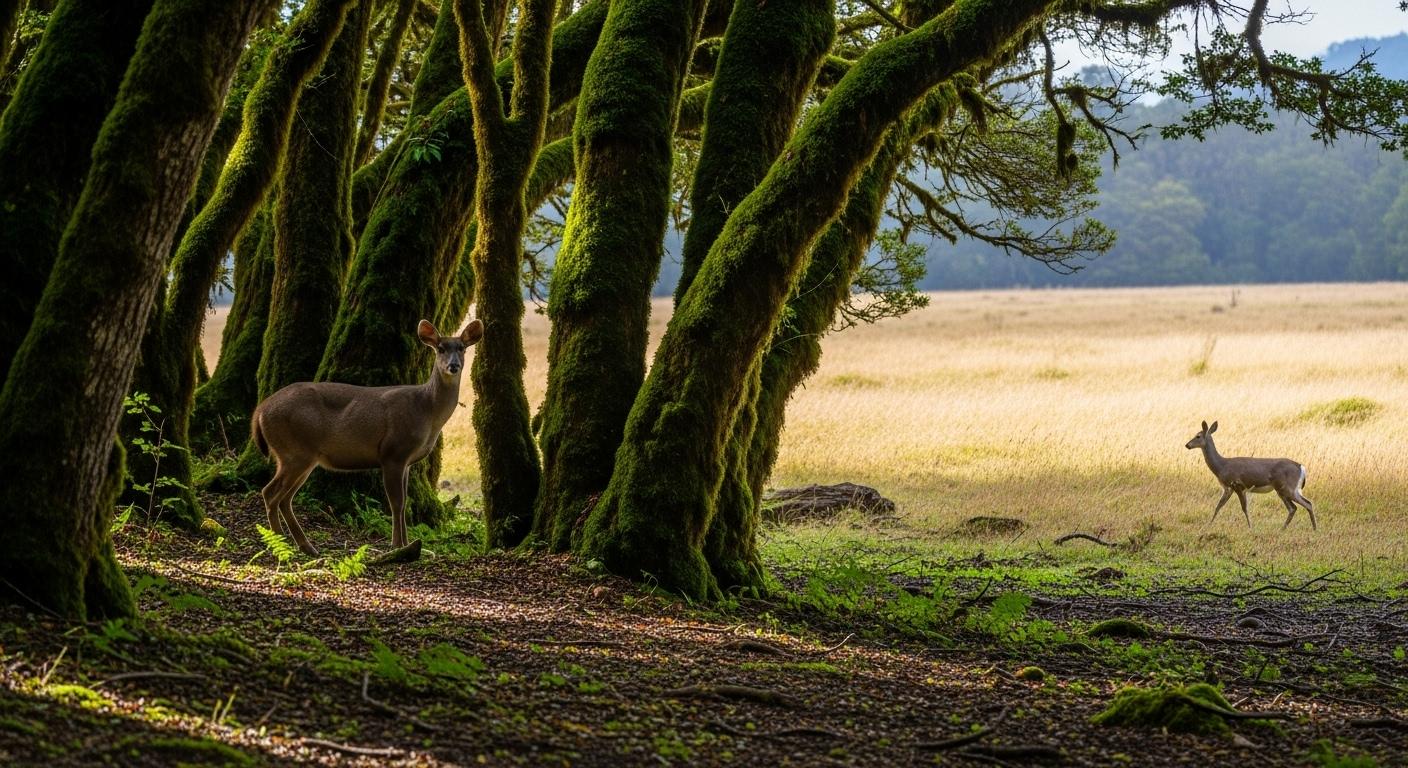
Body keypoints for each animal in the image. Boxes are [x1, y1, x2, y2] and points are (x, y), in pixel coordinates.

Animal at [250, 318, 484, 556]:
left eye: (462, 348)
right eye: (440, 349)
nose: (453, 366)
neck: (425, 411)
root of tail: (260, 410)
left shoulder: (407, 461)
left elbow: (404, 503)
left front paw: (407, 544)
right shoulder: (393, 451)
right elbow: (396, 503)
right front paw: (396, 546)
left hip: (301, 456)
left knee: (284, 497)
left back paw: (304, 546)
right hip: (294, 450)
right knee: (270, 492)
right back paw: (280, 544)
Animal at [1185, 420, 1316, 530]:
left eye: (1198, 436)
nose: (1187, 445)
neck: (1221, 466)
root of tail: (1301, 467)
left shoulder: (1237, 485)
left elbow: (1244, 508)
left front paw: (1250, 527)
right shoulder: (1228, 488)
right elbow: (1218, 506)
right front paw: (1209, 525)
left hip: (1287, 488)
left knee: (1305, 504)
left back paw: (1313, 529)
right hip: (1285, 490)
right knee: (1294, 508)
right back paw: (1288, 529)